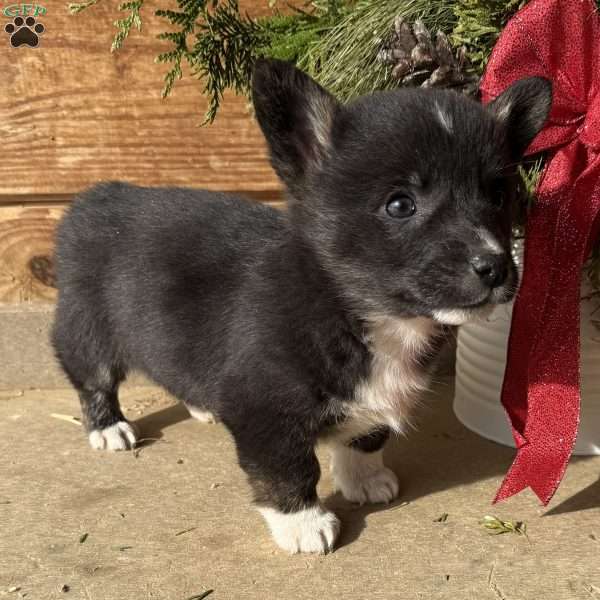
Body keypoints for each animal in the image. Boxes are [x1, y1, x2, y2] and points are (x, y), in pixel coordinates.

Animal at [54, 58, 552, 556]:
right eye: (400, 205)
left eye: (498, 196)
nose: (494, 266)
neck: (363, 313)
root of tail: (94, 198)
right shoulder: (267, 414)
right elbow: (289, 470)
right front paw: (304, 524)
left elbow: (365, 437)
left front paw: (365, 481)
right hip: (89, 330)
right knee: (92, 380)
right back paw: (108, 428)